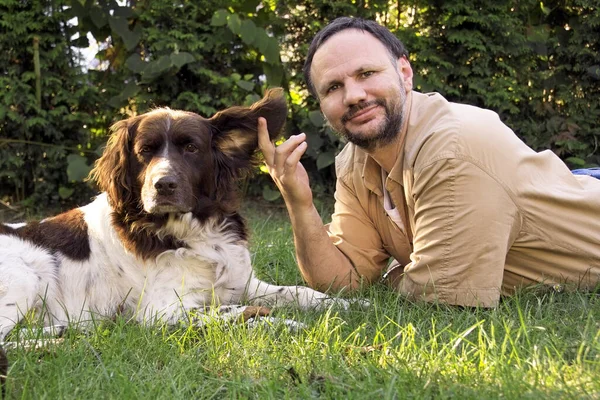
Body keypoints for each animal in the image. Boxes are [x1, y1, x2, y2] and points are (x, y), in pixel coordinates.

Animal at [0, 87, 352, 340]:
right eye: (145, 151)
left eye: (191, 148)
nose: (164, 185)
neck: (192, 232)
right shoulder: (162, 310)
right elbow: (236, 314)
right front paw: (292, 325)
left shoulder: (242, 282)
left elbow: (301, 292)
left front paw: (347, 305)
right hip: (26, 278)